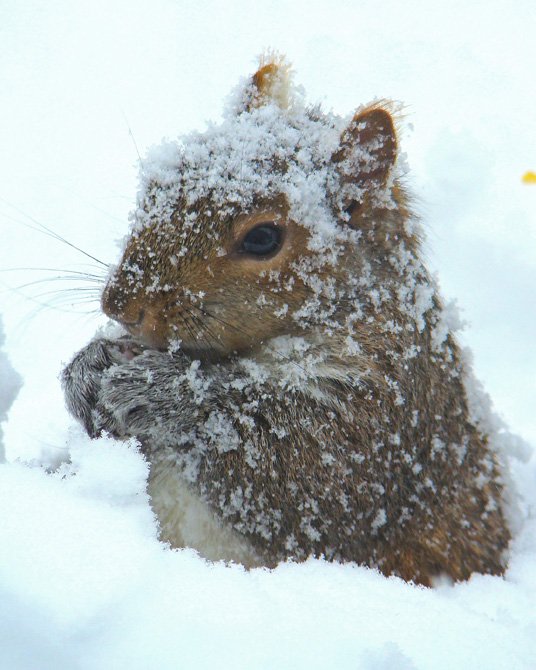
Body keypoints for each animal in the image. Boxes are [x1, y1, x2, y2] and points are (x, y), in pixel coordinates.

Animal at [62, 55, 511, 586]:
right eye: (152, 186)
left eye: (262, 239)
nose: (120, 307)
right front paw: (90, 367)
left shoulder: (388, 414)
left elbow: (298, 473)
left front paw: (164, 392)